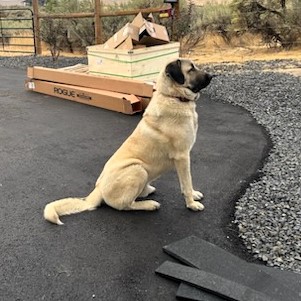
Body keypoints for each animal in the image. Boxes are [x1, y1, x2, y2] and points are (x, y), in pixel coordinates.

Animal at [44, 58, 213, 224]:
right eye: (191, 69)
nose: (212, 76)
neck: (172, 96)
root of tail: (98, 190)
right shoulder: (182, 157)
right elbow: (187, 182)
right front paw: (192, 204)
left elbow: (187, 184)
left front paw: (194, 195)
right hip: (138, 169)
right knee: (124, 205)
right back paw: (149, 205)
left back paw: (147, 190)